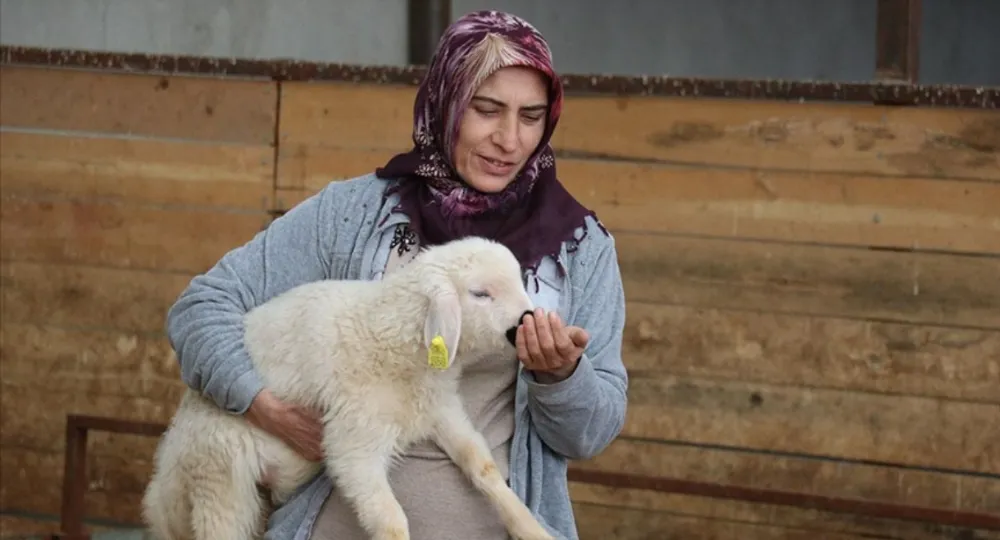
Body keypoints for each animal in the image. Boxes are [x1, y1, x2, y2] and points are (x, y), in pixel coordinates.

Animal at [139, 236, 556, 540]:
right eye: (480, 294)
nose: (526, 320)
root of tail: (169, 460)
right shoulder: (354, 444)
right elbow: (391, 521)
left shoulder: (439, 409)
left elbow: (482, 465)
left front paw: (532, 529)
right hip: (220, 477)